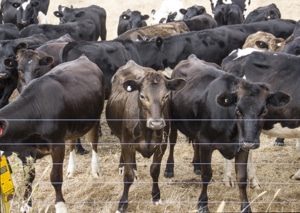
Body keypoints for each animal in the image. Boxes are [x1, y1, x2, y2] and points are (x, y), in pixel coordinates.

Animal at [0, 55, 105, 211]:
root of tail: (83, 58)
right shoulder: (25, 153)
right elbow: (28, 179)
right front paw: (26, 205)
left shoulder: (57, 146)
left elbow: (55, 177)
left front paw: (60, 206)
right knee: (72, 143)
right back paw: (71, 169)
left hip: (94, 118)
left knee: (94, 143)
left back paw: (95, 170)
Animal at [105, 60, 185, 213]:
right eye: (142, 96)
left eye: (166, 96)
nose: (156, 123)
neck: (147, 131)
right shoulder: (127, 144)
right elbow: (128, 176)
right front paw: (122, 203)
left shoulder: (161, 145)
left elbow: (154, 170)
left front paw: (156, 196)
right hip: (121, 136)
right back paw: (123, 166)